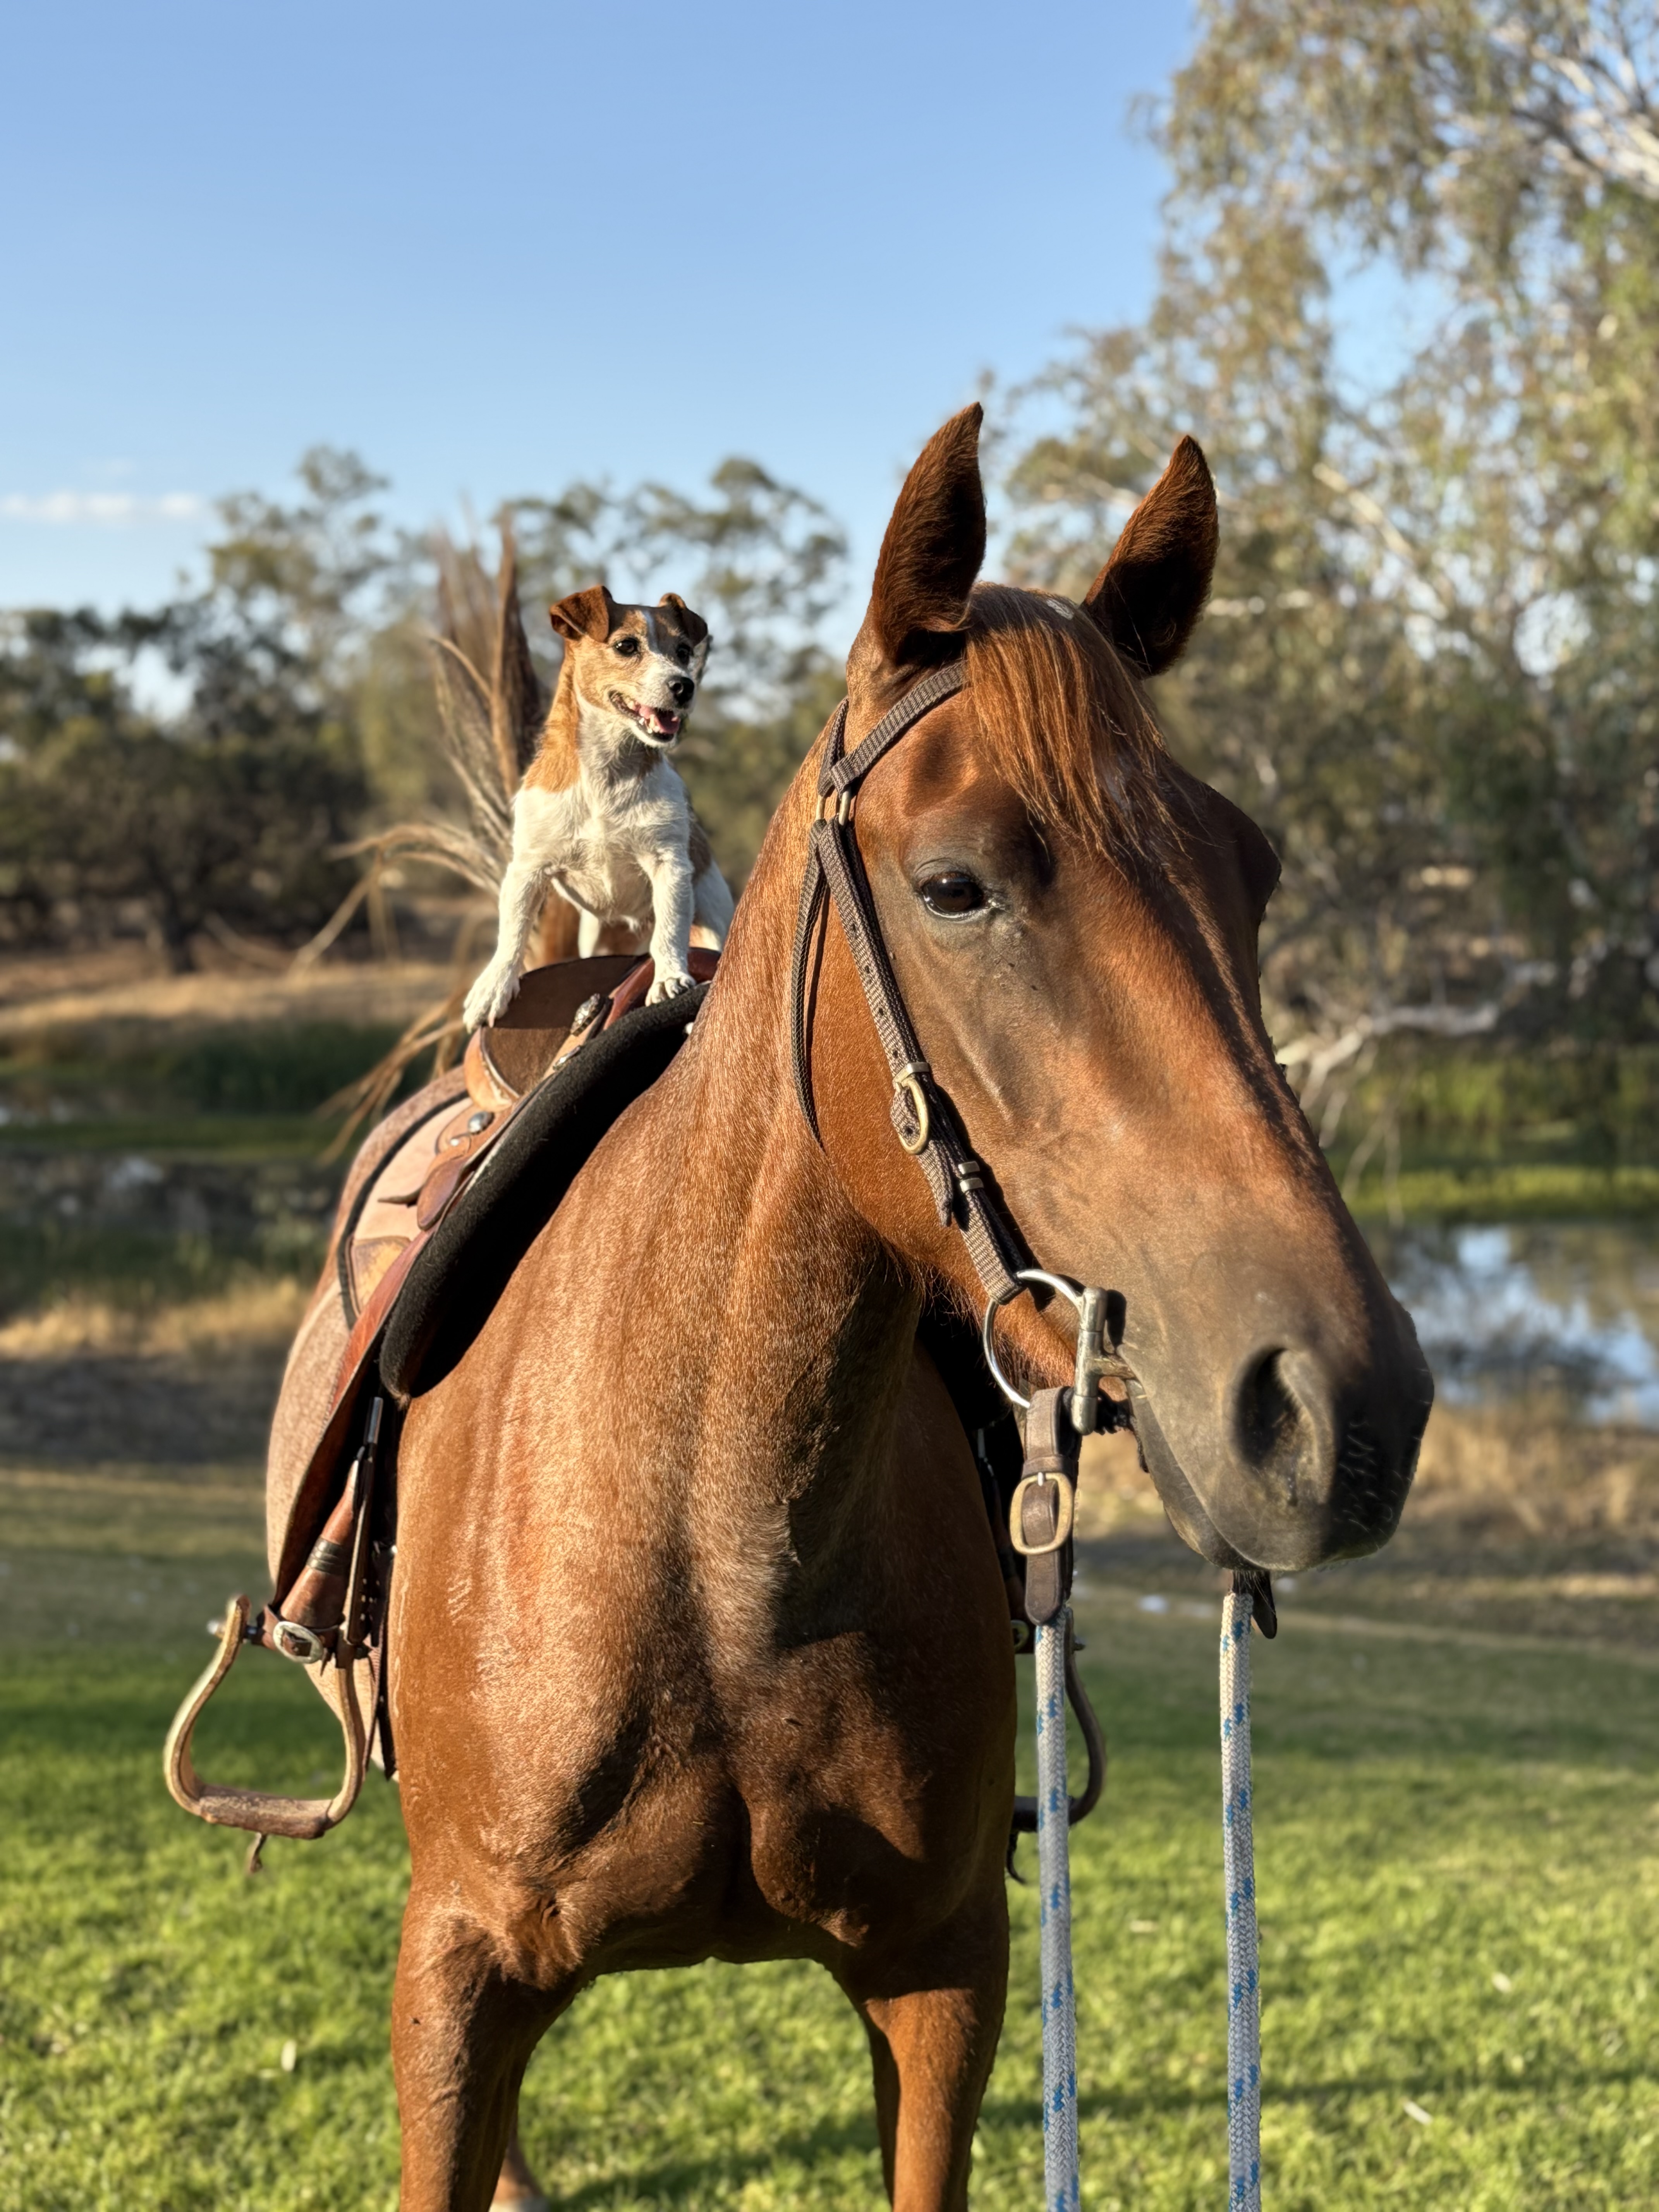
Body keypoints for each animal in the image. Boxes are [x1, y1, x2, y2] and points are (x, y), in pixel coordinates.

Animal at [464, 585, 735, 1030]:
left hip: (711, 915)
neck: (607, 770)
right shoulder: (527, 870)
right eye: (627, 646)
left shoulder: (669, 865)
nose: (684, 686)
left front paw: (669, 977)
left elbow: (670, 930)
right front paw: (493, 988)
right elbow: (513, 931)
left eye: (682, 651)